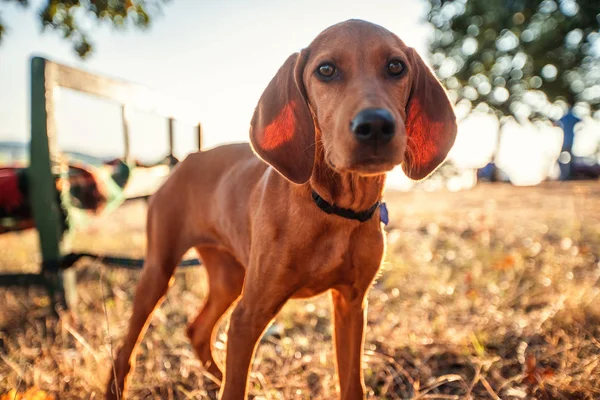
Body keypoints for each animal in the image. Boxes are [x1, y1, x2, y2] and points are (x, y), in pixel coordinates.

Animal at [106, 18, 454, 400]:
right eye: (326, 70)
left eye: (396, 67)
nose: (375, 125)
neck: (334, 210)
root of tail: (186, 160)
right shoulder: (249, 315)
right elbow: (235, 388)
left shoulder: (352, 304)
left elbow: (352, 384)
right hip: (160, 270)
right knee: (127, 347)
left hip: (229, 277)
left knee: (197, 330)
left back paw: (215, 377)